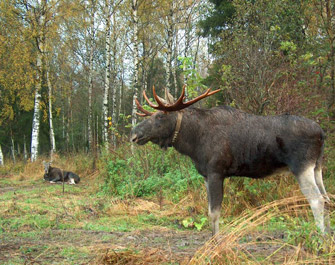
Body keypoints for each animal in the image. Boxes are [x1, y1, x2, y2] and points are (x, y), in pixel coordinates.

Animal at [131, 86, 330, 235]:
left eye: (160, 116)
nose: (134, 134)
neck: (193, 141)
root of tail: (322, 133)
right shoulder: (206, 176)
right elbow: (210, 211)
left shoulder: (216, 171)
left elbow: (214, 213)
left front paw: (215, 245)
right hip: (317, 167)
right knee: (326, 198)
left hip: (301, 166)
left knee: (317, 200)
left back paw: (320, 238)